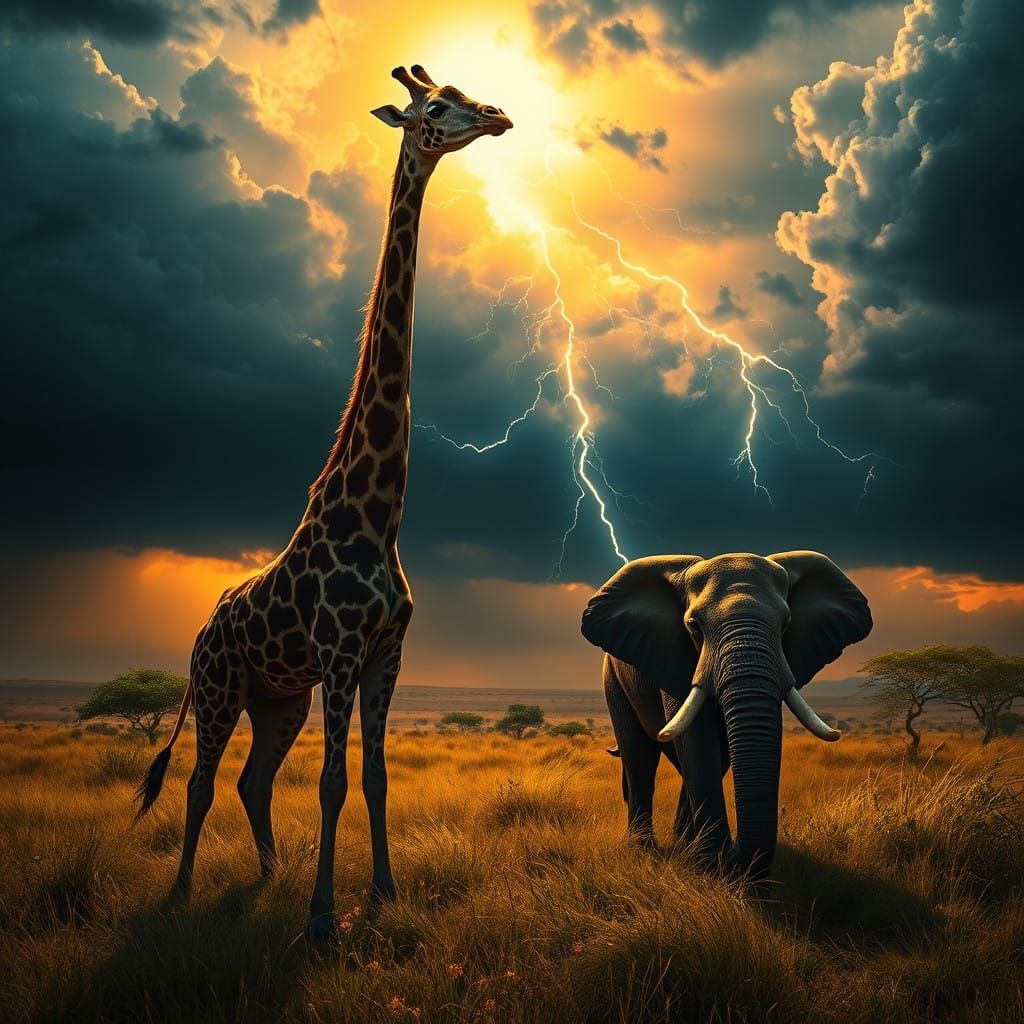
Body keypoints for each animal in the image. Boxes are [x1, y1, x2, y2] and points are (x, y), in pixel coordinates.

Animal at [136, 65, 512, 938]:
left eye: (467, 96)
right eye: (434, 108)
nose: (498, 116)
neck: (376, 516)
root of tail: (202, 629)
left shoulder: (386, 653)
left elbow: (373, 779)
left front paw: (382, 896)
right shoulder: (341, 648)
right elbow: (334, 782)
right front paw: (320, 920)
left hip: (279, 701)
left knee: (251, 780)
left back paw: (268, 876)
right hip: (219, 686)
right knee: (202, 781)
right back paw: (180, 894)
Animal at [580, 551, 872, 879]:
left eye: (786, 624)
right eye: (694, 626)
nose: (734, 858)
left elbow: (717, 752)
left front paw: (703, 859)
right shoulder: (676, 655)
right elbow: (697, 740)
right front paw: (709, 866)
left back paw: (682, 843)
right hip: (613, 679)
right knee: (639, 755)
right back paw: (645, 849)